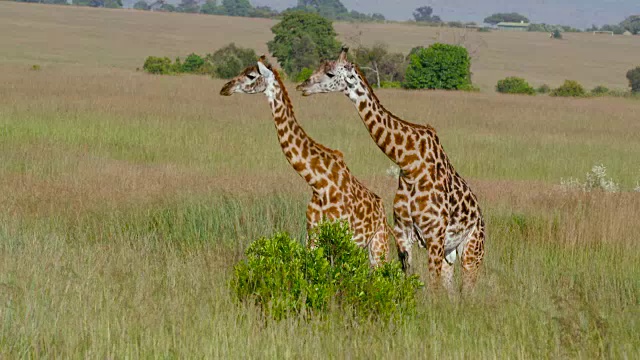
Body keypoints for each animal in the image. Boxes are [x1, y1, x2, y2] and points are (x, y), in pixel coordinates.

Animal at [220, 58, 390, 268]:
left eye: (251, 75)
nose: (225, 88)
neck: (318, 183)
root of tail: (381, 207)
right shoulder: (313, 236)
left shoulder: (342, 238)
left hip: (378, 243)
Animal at [298, 48, 484, 296]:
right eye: (318, 67)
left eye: (330, 73)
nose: (302, 86)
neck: (409, 163)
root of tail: (480, 215)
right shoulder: (403, 233)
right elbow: (409, 278)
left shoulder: (434, 234)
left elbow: (432, 286)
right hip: (450, 251)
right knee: (452, 288)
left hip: (472, 248)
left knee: (469, 288)